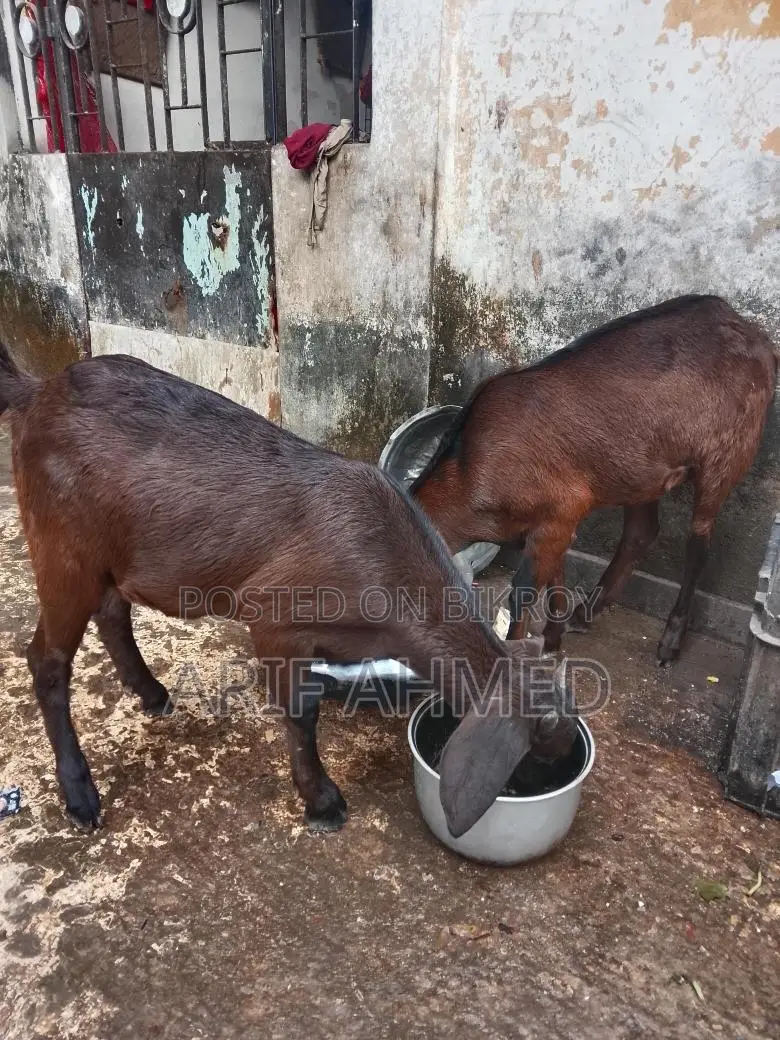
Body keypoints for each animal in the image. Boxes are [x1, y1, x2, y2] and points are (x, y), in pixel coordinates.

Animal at [0, 345, 577, 840]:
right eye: (537, 750)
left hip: (107, 554)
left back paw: (153, 694)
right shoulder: (274, 616)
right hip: (60, 547)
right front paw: (323, 802)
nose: (556, 774)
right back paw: (80, 796)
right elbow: (300, 713)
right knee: (47, 660)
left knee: (113, 611)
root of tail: (36, 393)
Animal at [411, 295, 778, 665]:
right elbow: (555, 578)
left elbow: (524, 592)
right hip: (642, 474)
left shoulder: (560, 510)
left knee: (699, 544)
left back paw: (670, 642)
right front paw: (553, 637)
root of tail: (753, 332)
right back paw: (584, 615)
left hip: (728, 456)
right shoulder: (557, 521)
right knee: (641, 533)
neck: (468, 473)